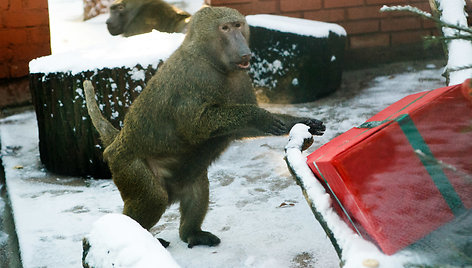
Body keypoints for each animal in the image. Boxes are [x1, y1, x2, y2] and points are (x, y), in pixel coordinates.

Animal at [85, 6, 324, 248]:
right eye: (225, 28)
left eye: (237, 25)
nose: (244, 51)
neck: (211, 60)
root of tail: (116, 140)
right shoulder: (194, 77)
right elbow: (194, 127)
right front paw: (260, 117)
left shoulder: (240, 78)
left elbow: (240, 131)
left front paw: (303, 123)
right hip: (126, 165)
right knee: (154, 198)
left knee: (197, 186)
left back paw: (192, 234)